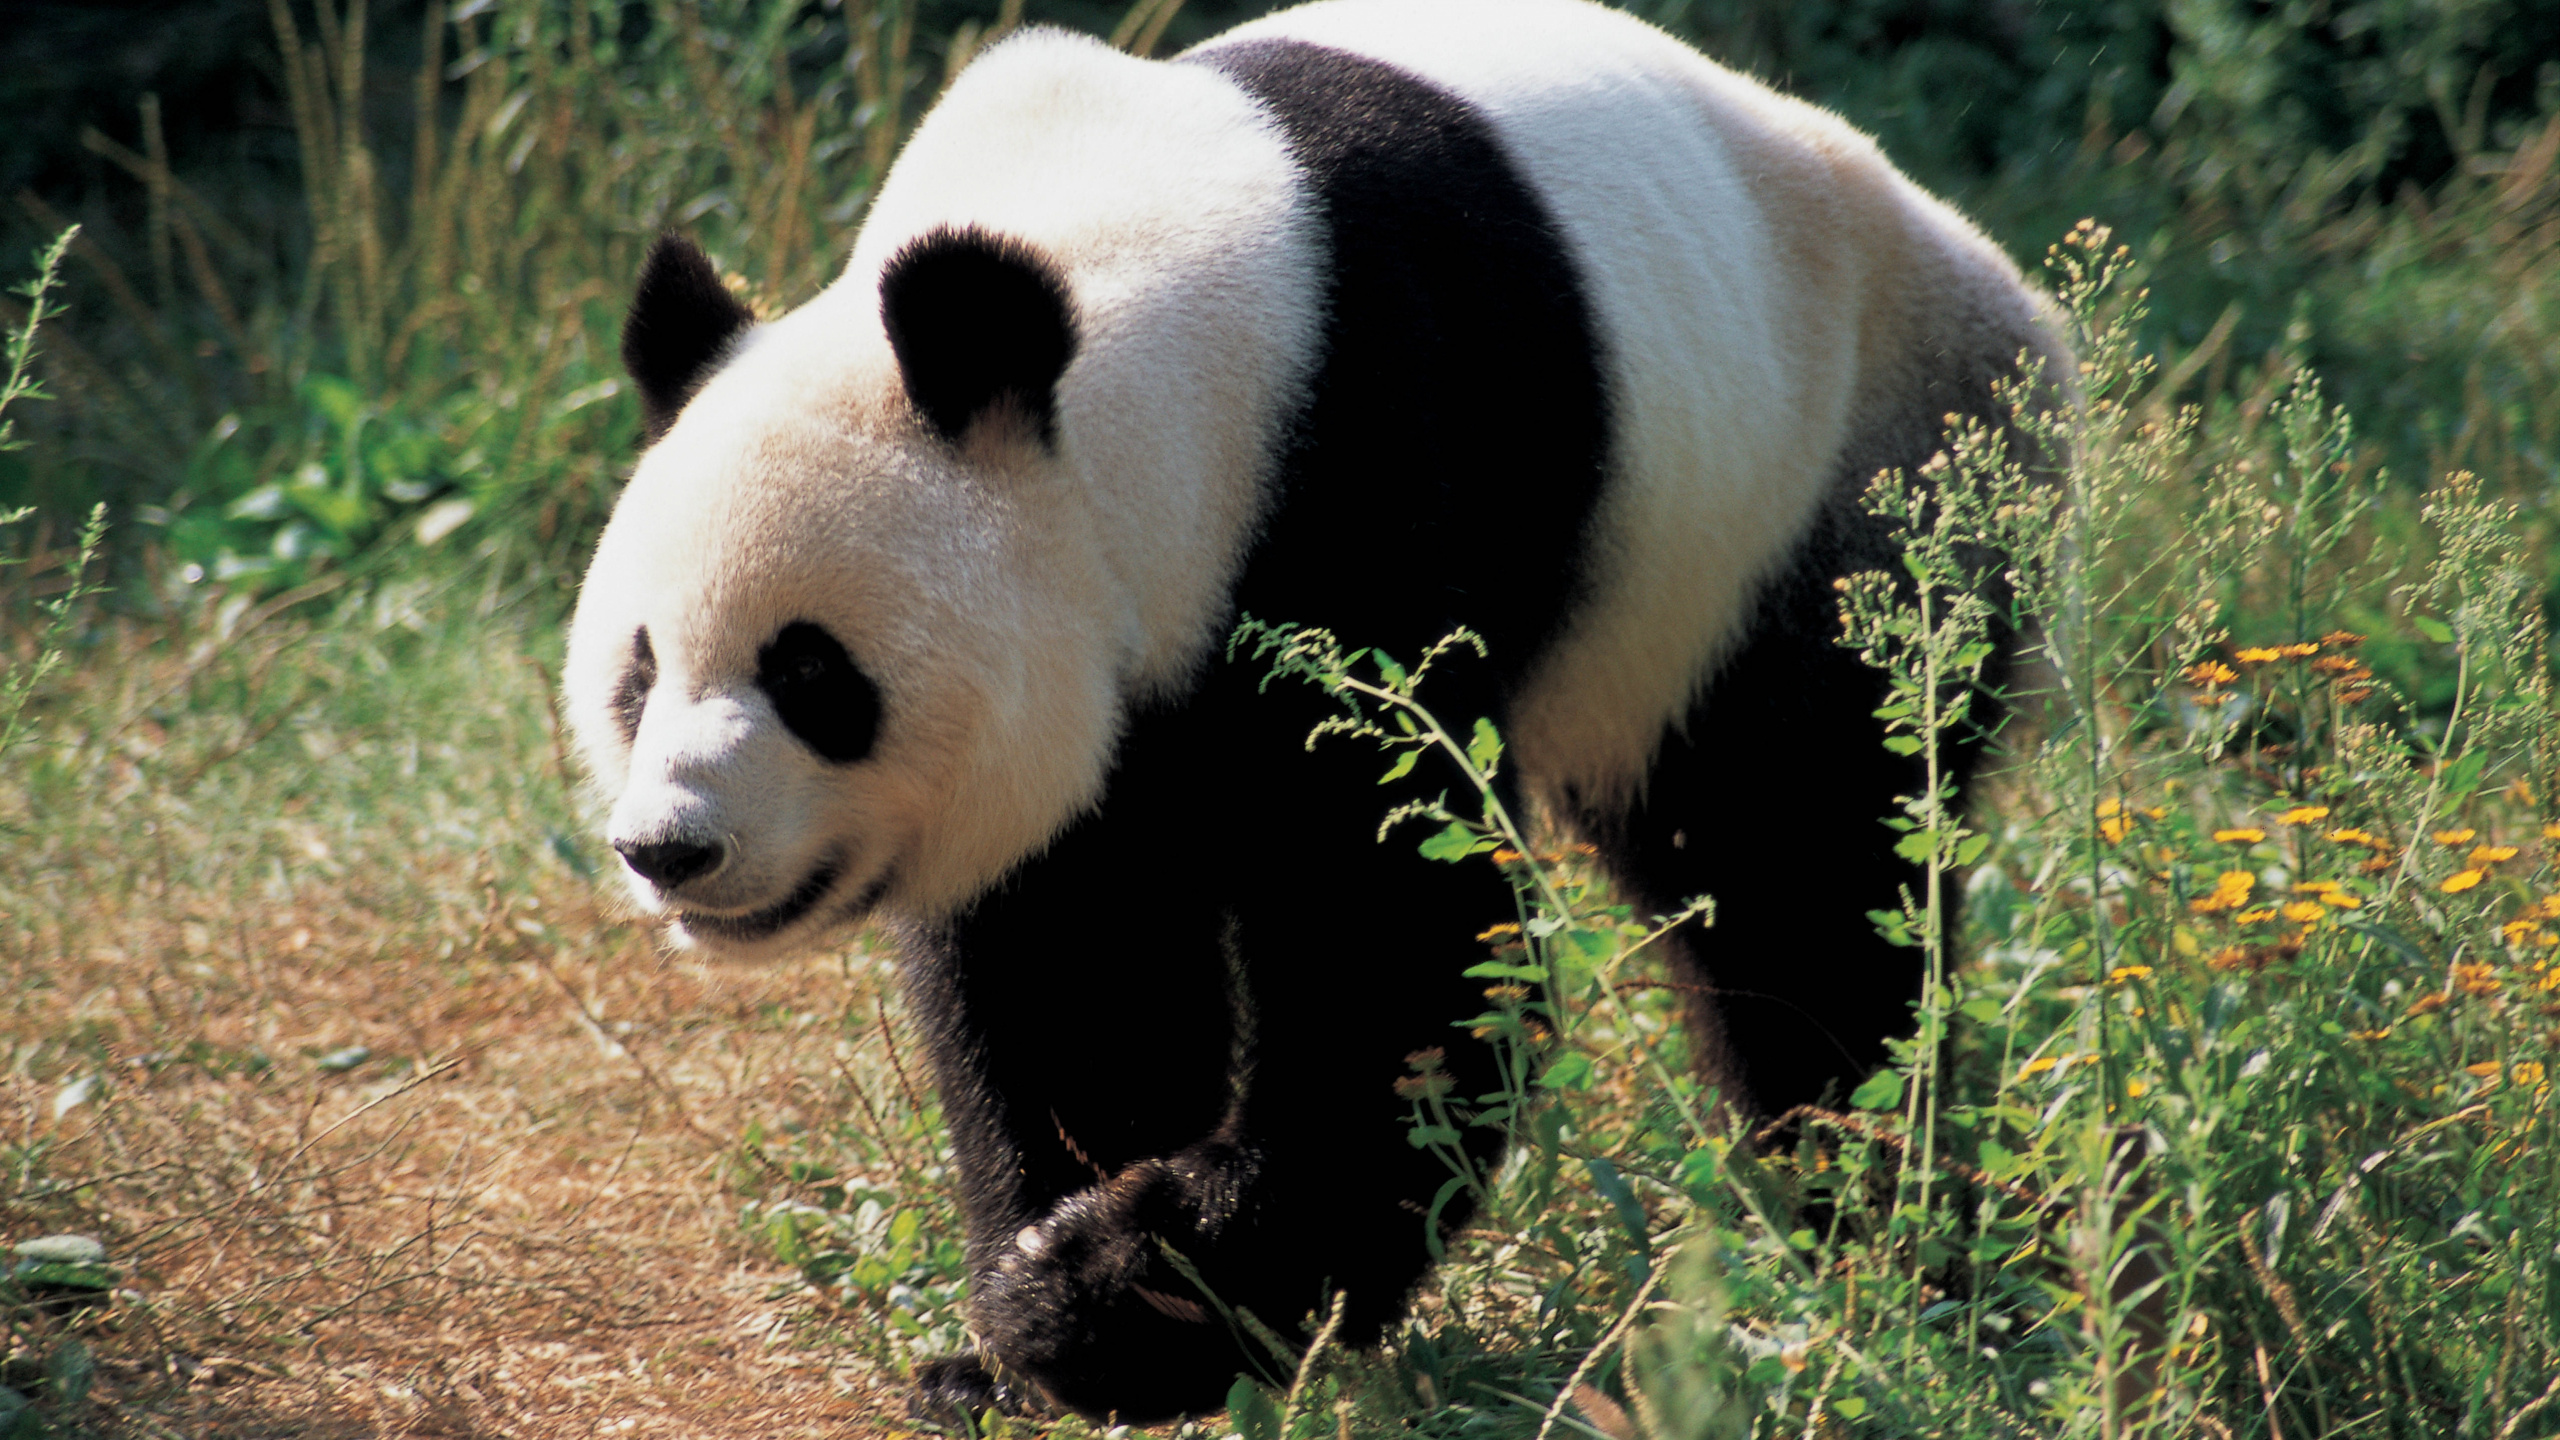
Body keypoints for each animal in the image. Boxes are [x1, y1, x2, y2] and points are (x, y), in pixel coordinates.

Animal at [564, 0, 2066, 1421]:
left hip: (1816, 505)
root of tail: (2025, 307)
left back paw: (1875, 1241)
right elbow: (1065, 959)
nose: (672, 848)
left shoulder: (1370, 466)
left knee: (1802, 877)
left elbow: (1406, 946)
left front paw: (1114, 1293)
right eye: (638, 672)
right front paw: (1011, 1344)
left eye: (811, 674)